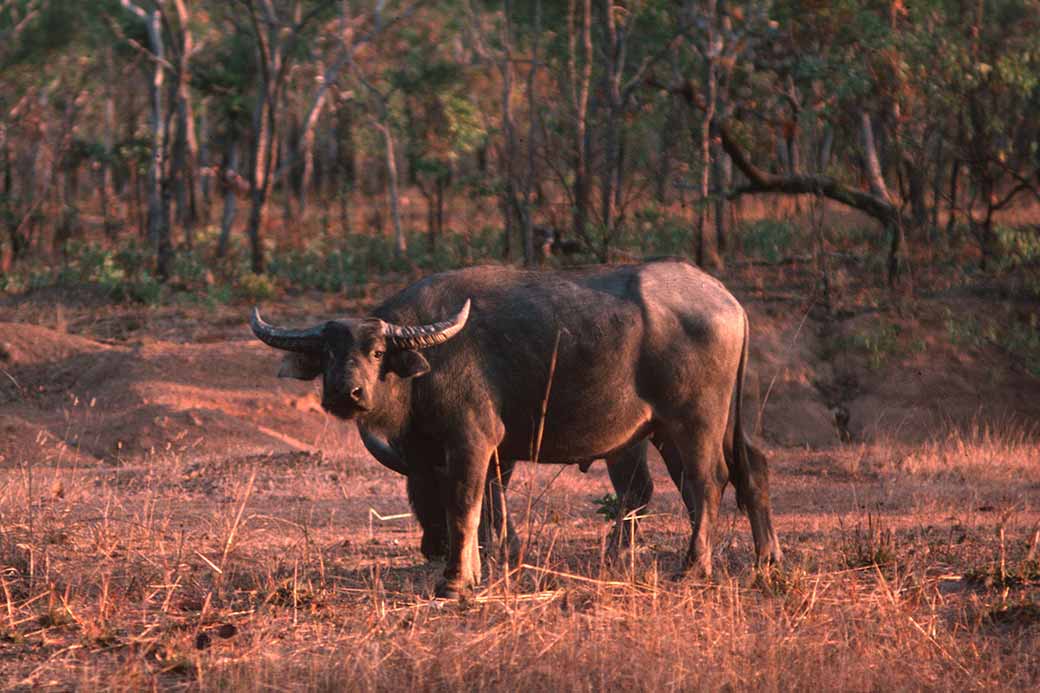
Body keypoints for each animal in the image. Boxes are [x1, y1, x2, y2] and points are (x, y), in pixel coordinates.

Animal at [253, 259, 782, 595]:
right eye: (328, 353)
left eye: (378, 351)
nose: (347, 393)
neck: (425, 368)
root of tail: (727, 300)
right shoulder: (474, 455)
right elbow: (488, 506)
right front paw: (483, 567)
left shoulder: (472, 441)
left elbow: (466, 505)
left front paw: (455, 581)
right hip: (692, 427)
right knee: (749, 470)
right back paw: (767, 560)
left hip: (693, 421)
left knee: (706, 482)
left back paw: (694, 567)